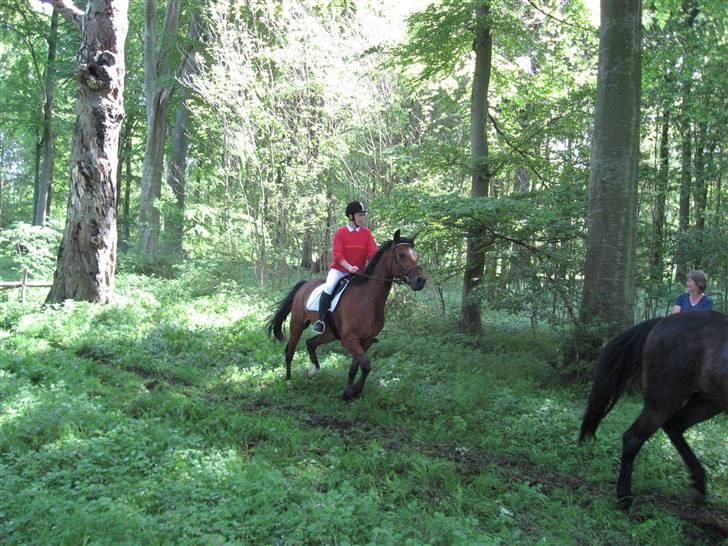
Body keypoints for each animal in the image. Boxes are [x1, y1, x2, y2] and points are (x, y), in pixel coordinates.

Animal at [268, 230, 426, 400]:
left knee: (311, 343)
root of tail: (304, 285)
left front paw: (351, 392)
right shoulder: (350, 339)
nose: (421, 280)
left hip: (330, 333)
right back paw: (289, 381)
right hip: (297, 325)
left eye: (415, 255)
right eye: (402, 255)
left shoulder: (365, 340)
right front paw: (351, 391)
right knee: (290, 351)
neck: (368, 298)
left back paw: (312, 371)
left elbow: (357, 368)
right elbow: (366, 365)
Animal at [580, 310, 728, 506]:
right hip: (662, 402)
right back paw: (625, 497)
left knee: (674, 426)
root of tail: (660, 322)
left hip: (706, 403)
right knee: (634, 438)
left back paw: (698, 485)